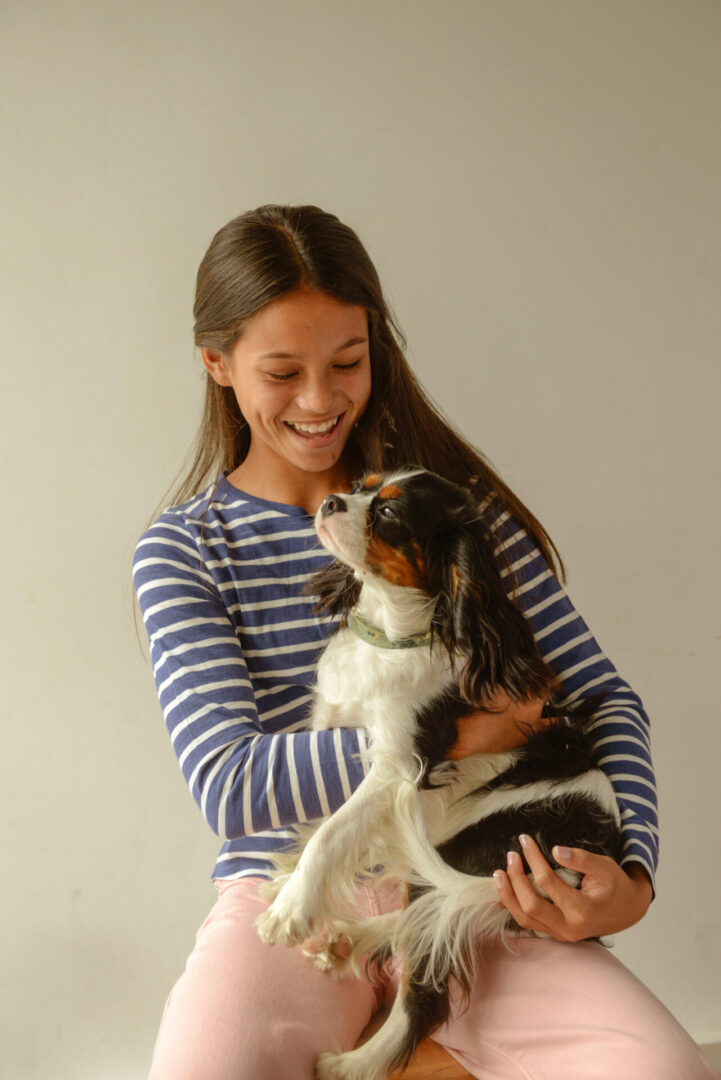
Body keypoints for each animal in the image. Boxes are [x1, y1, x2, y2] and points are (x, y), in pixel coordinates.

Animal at [255, 466, 621, 1080]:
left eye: (388, 513)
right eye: (360, 484)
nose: (329, 501)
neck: (389, 634)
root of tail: (600, 844)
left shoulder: (398, 767)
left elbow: (333, 832)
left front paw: (291, 909)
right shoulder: (330, 726)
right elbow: (322, 823)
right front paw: (291, 884)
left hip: (477, 845)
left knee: (424, 982)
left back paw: (352, 1063)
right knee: (419, 916)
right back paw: (348, 940)